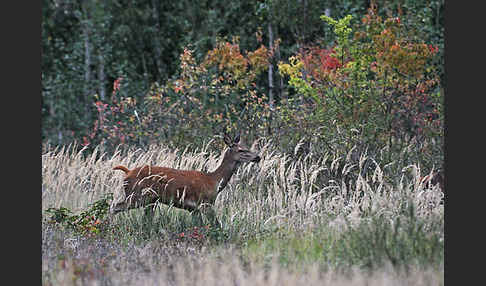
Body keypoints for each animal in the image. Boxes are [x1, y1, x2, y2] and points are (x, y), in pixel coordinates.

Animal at [110, 133, 262, 225]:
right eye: (241, 150)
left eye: (246, 147)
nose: (258, 157)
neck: (214, 180)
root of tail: (128, 172)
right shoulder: (205, 204)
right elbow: (216, 225)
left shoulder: (194, 209)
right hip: (136, 196)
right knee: (114, 207)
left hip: (150, 200)